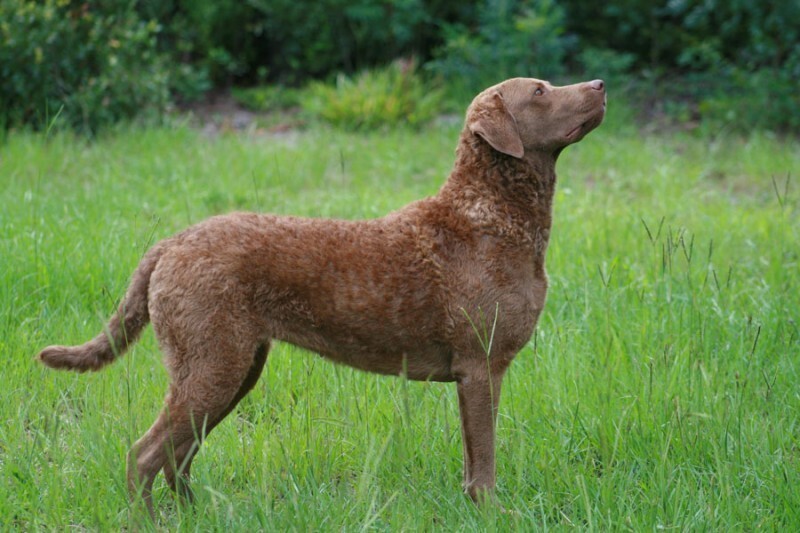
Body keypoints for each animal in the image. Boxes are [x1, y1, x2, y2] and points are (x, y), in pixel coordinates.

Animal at [36, 78, 600, 516]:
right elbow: (483, 460)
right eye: (540, 91)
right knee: (145, 454)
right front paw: (492, 513)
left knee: (178, 456)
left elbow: (472, 456)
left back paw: (199, 514)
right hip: (211, 364)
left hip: (232, 368)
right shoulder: (480, 365)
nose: (598, 85)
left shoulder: (475, 372)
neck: (490, 215)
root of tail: (171, 242)